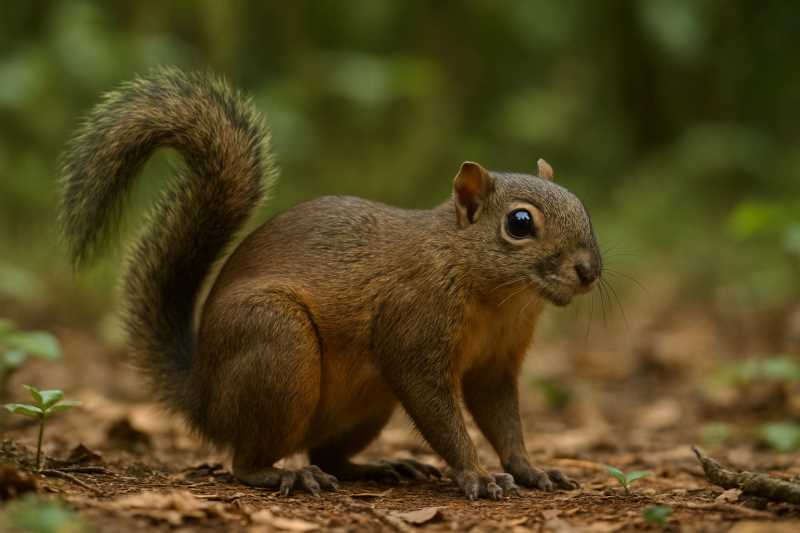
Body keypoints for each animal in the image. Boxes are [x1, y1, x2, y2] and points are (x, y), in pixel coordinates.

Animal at [59, 68, 601, 500]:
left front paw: (531, 470)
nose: (589, 271)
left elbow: (502, 420)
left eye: (580, 203)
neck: (497, 298)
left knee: (325, 453)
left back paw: (378, 465)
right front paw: (477, 475)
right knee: (247, 460)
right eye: (519, 223)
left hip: (367, 405)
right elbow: (442, 415)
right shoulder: (414, 326)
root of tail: (204, 398)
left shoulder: (495, 366)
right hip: (279, 348)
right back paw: (284, 475)